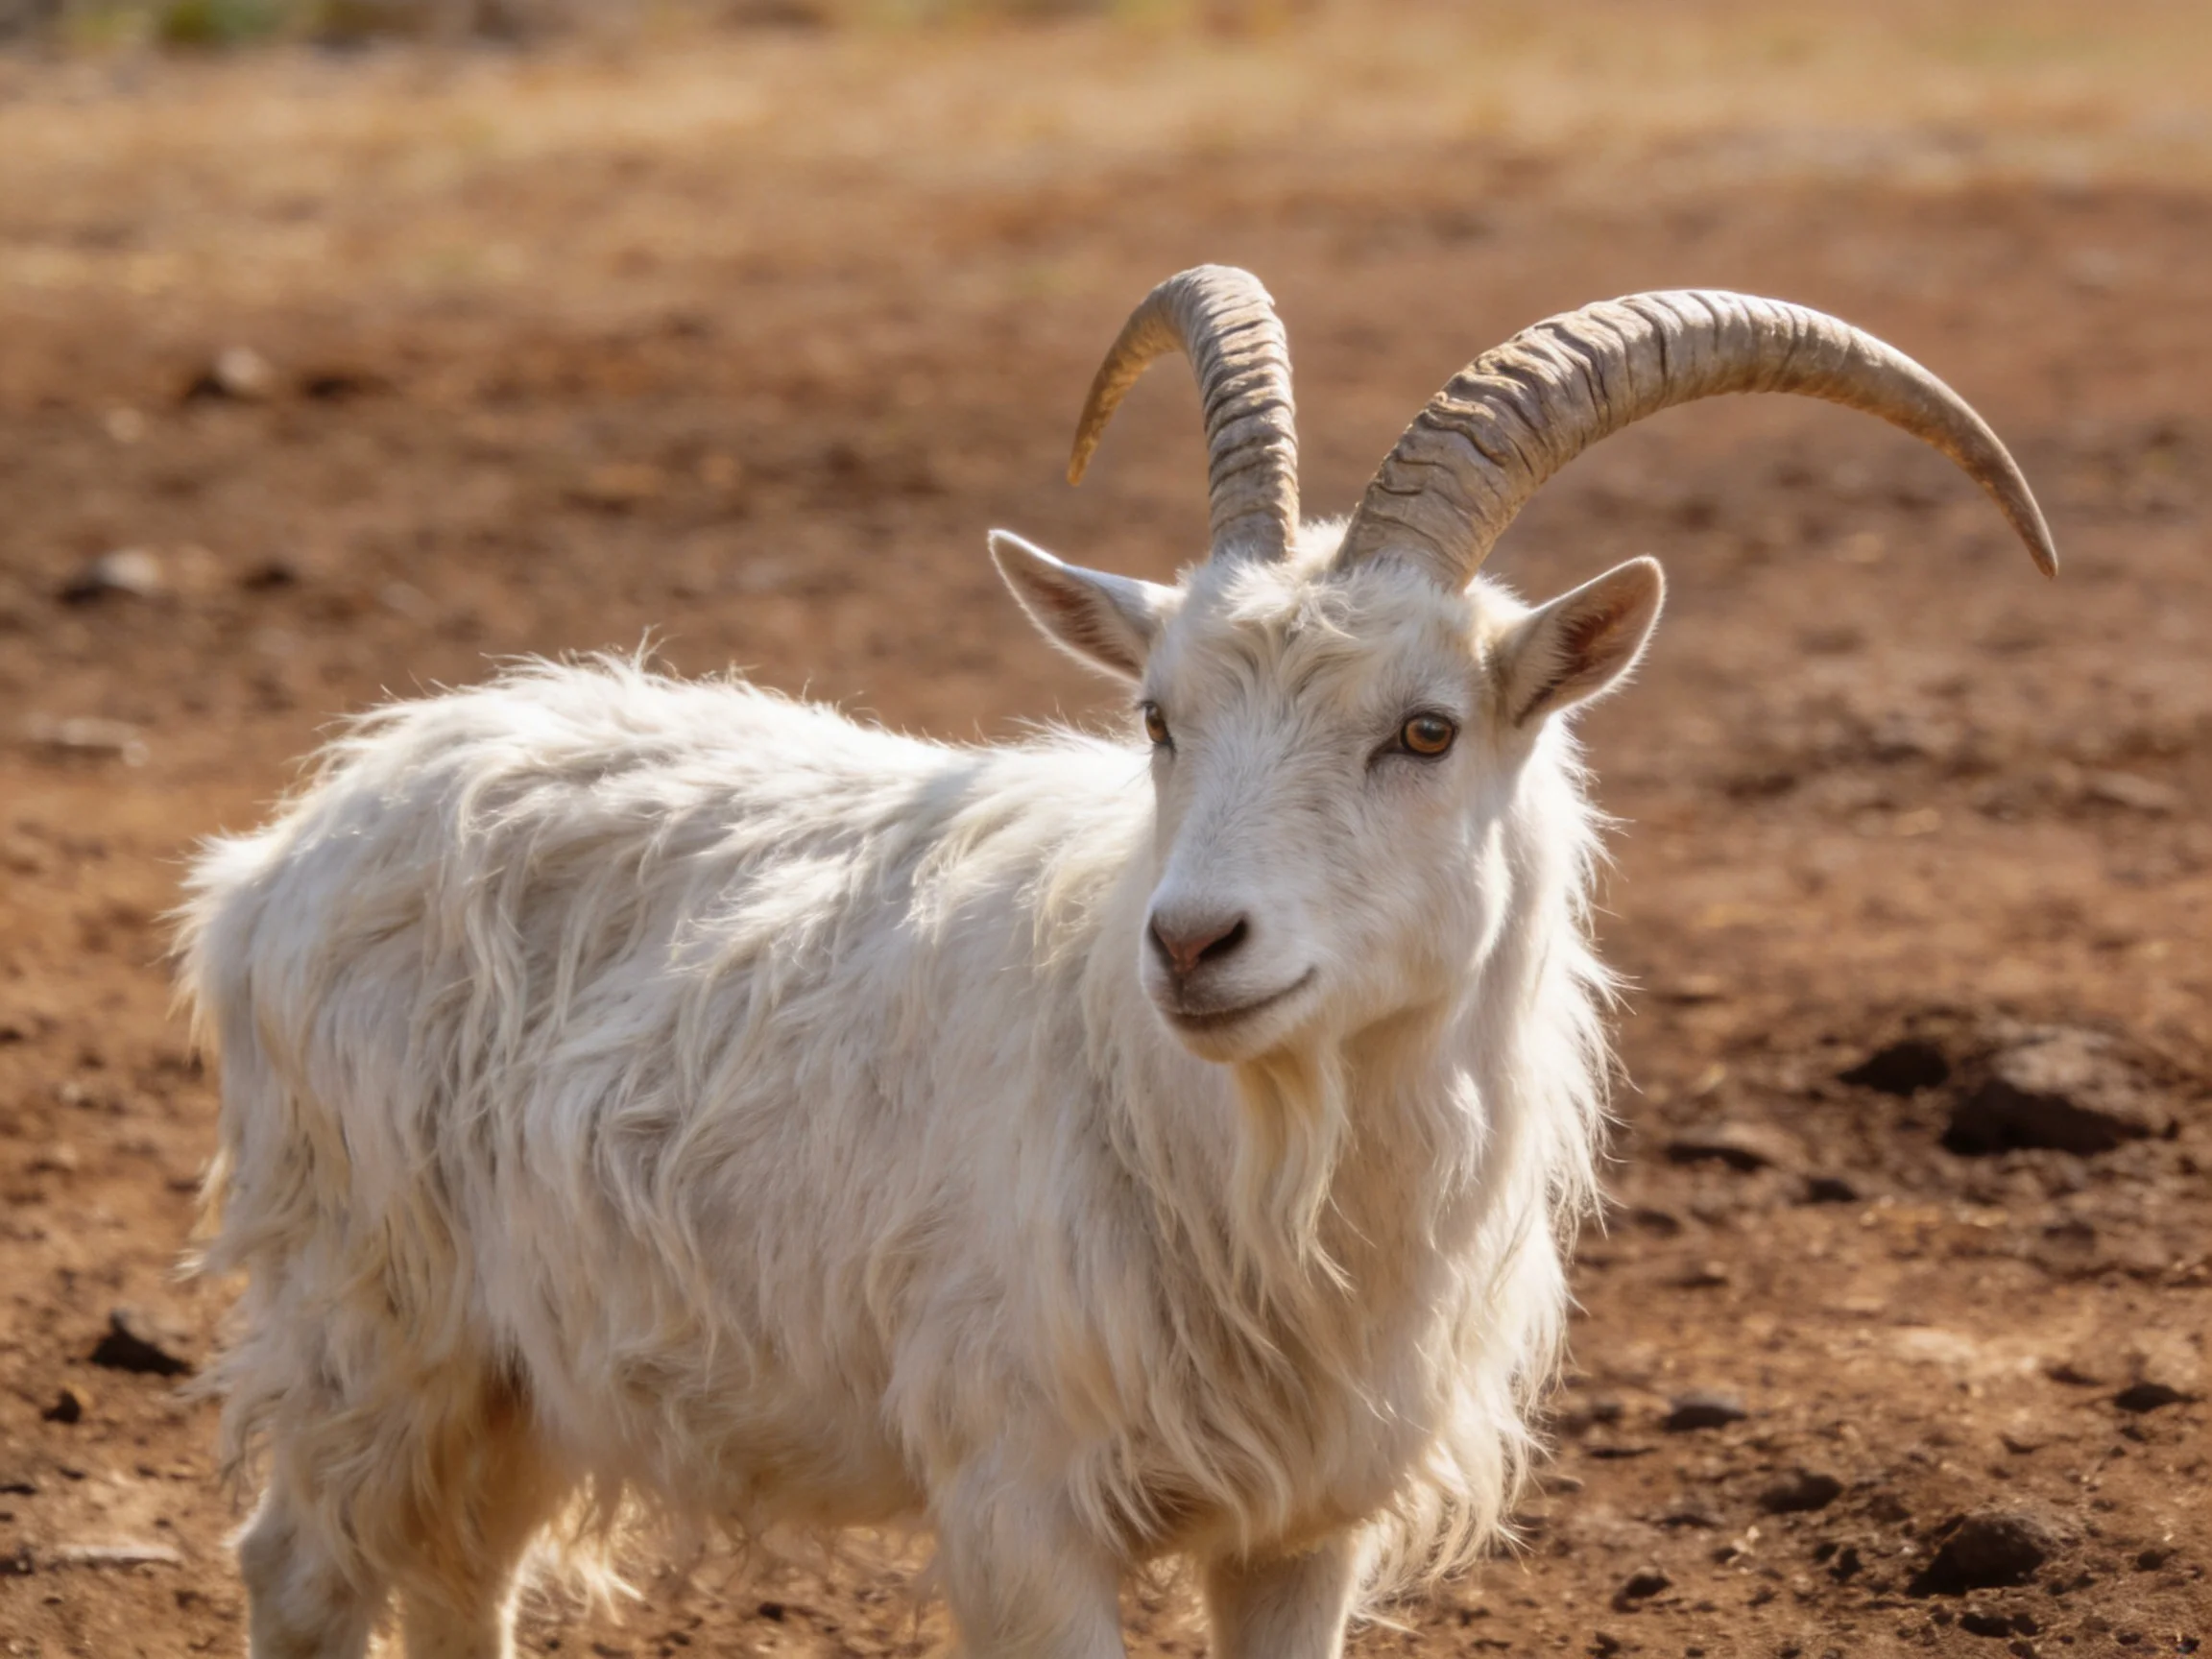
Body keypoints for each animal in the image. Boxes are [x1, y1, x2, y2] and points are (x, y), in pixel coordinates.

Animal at [177, 269, 2055, 1659]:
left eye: (1425, 730)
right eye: (1157, 716)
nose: (1194, 940)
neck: (1255, 1161)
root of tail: (302, 830)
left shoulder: (1306, 1529)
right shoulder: (1020, 1502)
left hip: (512, 1359)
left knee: (460, 1578)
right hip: (370, 1306)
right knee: (302, 1569)